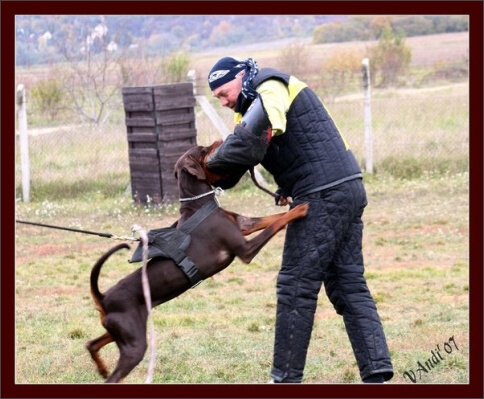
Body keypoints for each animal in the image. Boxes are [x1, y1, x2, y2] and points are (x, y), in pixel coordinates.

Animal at [85, 142, 308, 382]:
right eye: (202, 149)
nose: (219, 141)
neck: (200, 204)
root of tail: (103, 297)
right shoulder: (245, 250)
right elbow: (275, 225)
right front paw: (300, 208)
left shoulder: (244, 224)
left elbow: (271, 219)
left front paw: (290, 205)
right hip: (134, 343)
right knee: (112, 373)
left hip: (121, 332)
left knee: (91, 344)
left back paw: (101, 368)